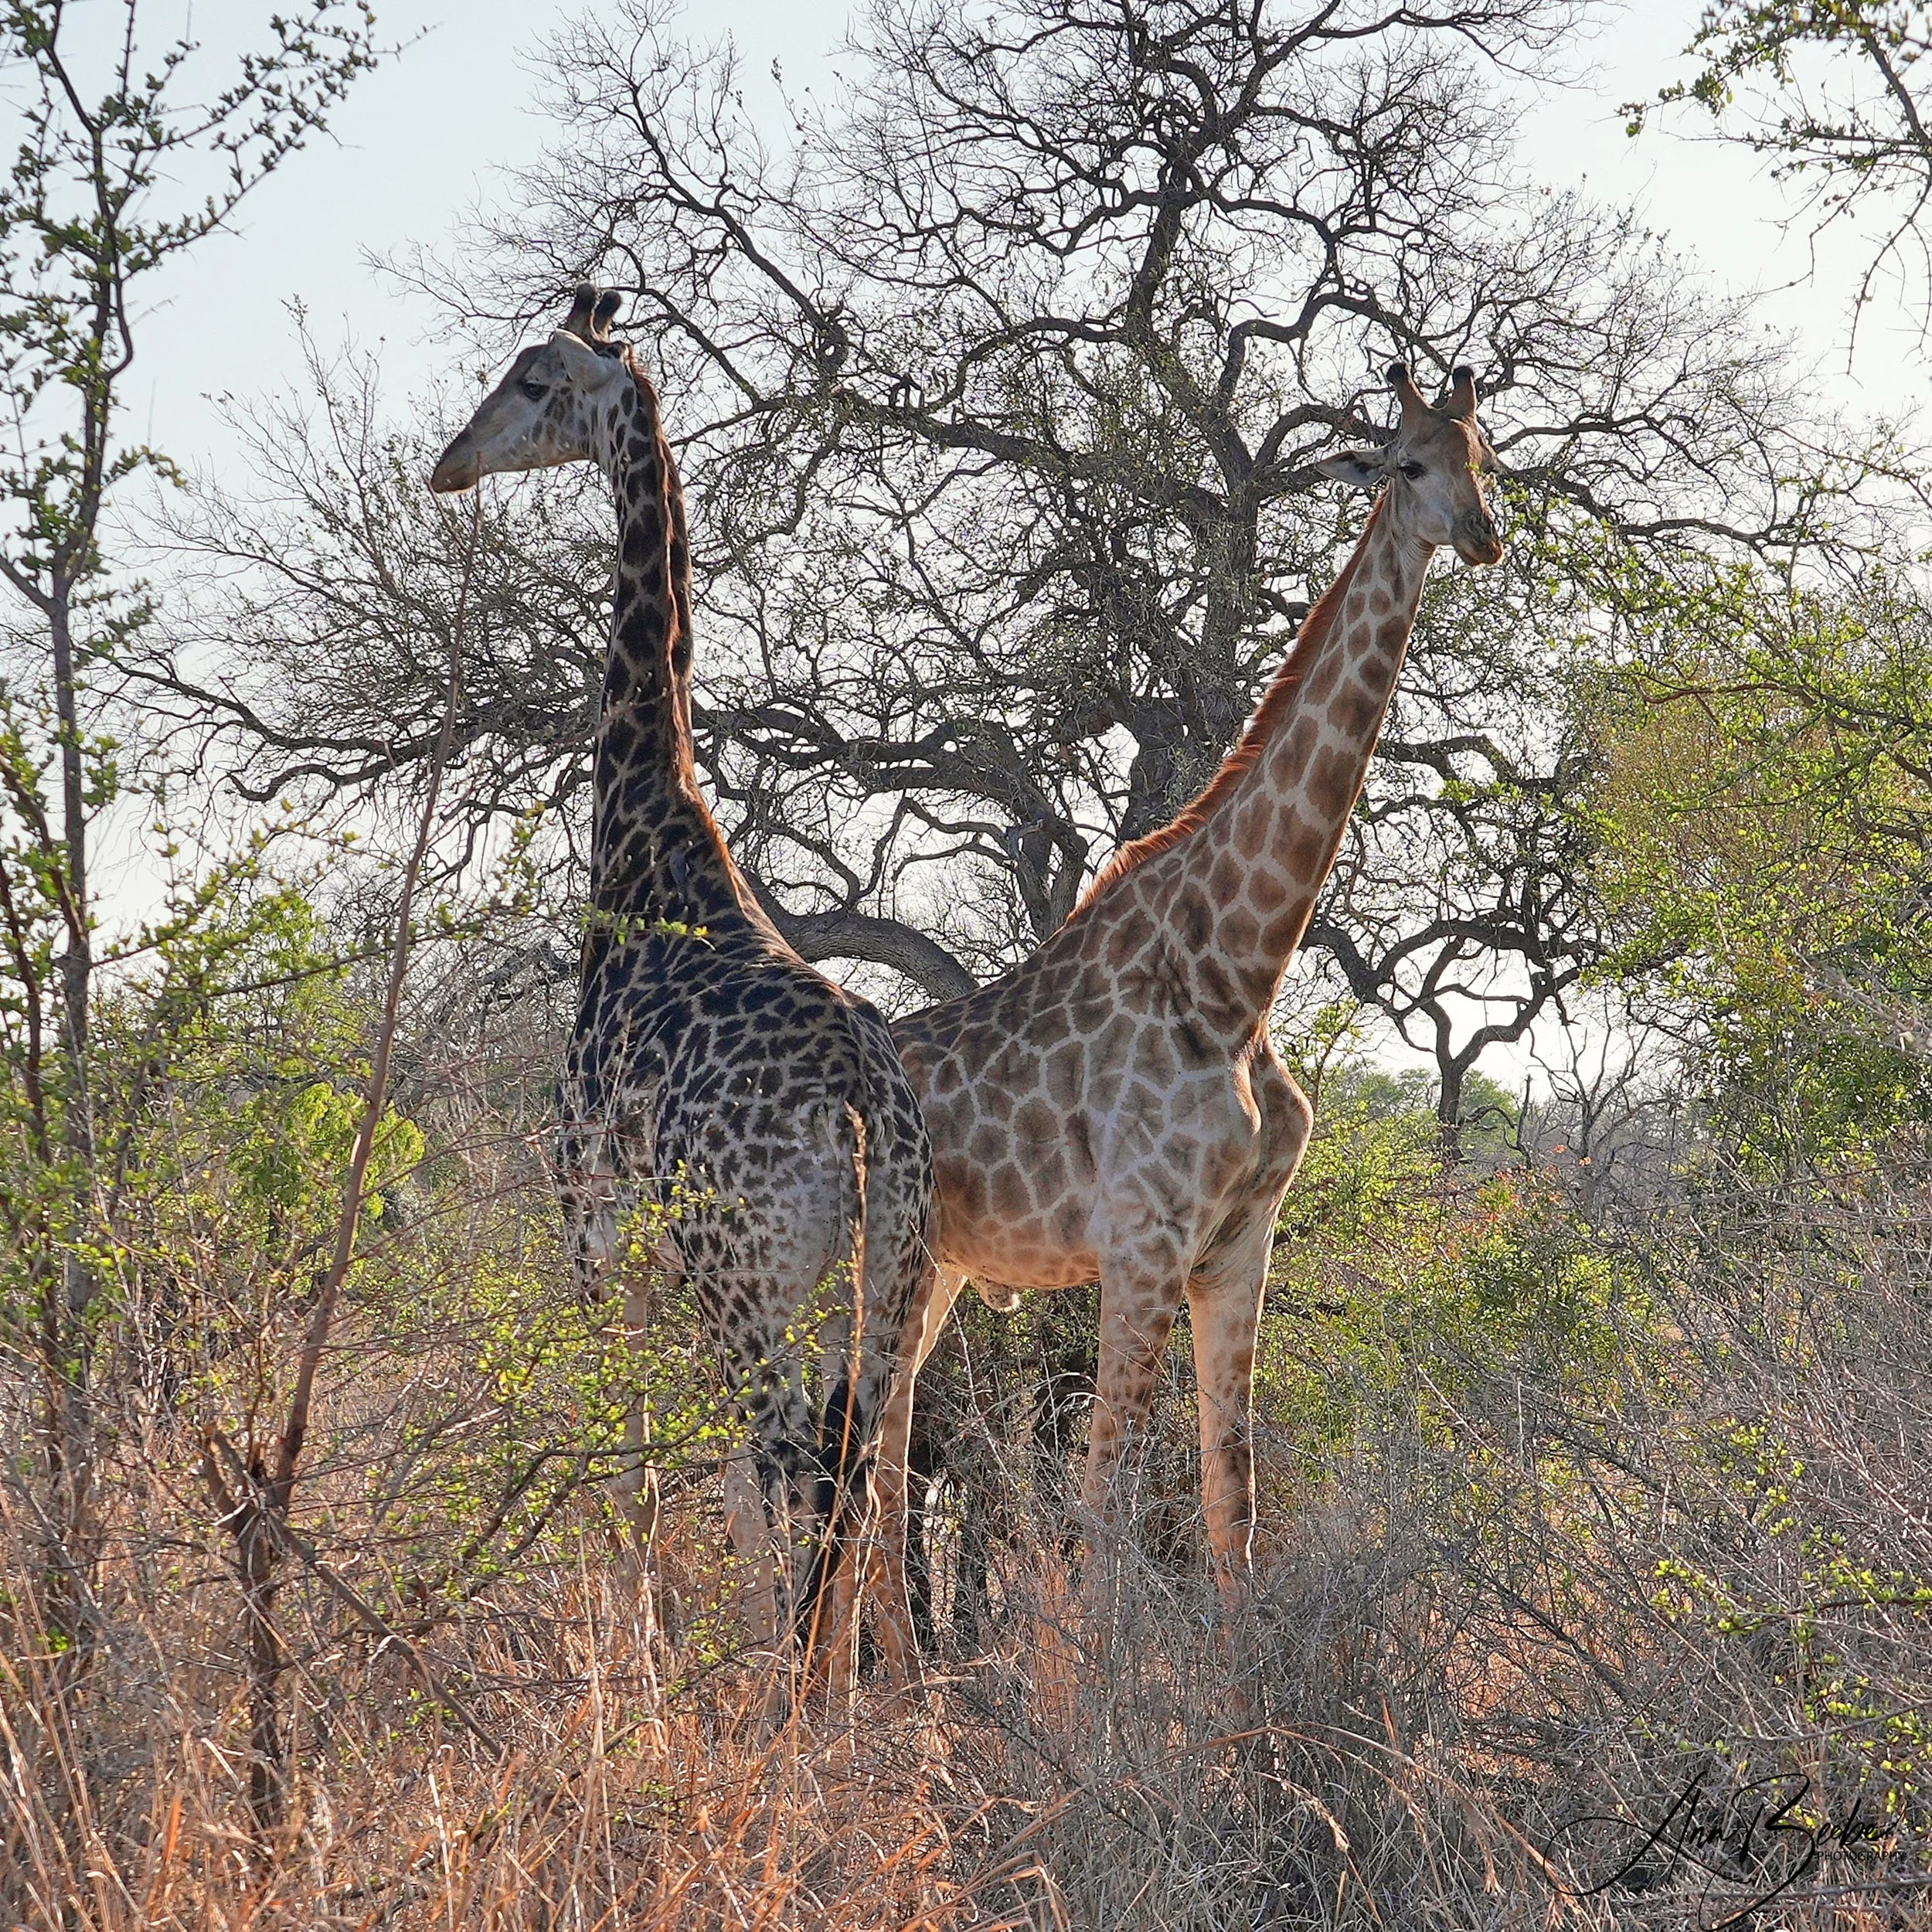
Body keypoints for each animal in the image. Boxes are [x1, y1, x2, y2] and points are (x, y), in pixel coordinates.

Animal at [429, 287, 936, 1672]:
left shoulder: (589, 1210)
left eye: (531, 377)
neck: (647, 830)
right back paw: (854, 1687)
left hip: (745, 1276)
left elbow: (632, 1447)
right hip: (892, 1277)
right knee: (862, 1461)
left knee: (793, 1460)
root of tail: (861, 1106)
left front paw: (645, 1636)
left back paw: (789, 1691)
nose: (449, 463)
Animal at [879, 362, 1504, 1629]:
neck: (1237, 976)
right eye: (1408, 461)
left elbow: (1233, 1500)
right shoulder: (1142, 1244)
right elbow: (1102, 1504)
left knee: (863, 1472)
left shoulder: (1238, 1247)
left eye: (1489, 457)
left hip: (936, 1278)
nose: (1484, 535)